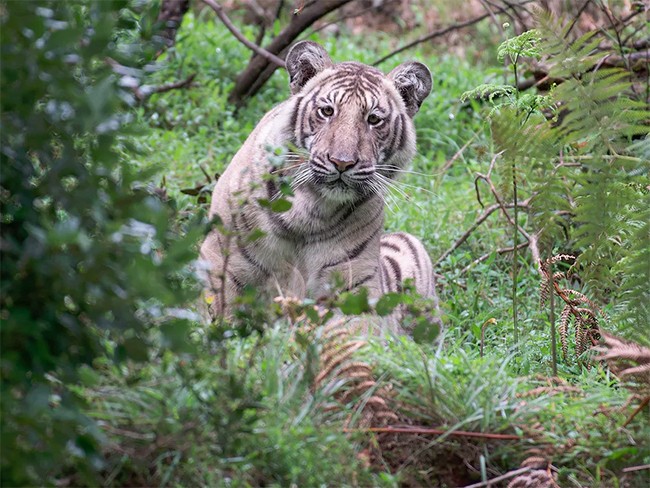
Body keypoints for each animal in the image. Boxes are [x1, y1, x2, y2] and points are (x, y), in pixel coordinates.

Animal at [200, 40, 438, 327]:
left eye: (373, 119)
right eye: (327, 111)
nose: (342, 162)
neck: (309, 208)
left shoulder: (354, 284)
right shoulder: (224, 258)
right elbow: (219, 315)